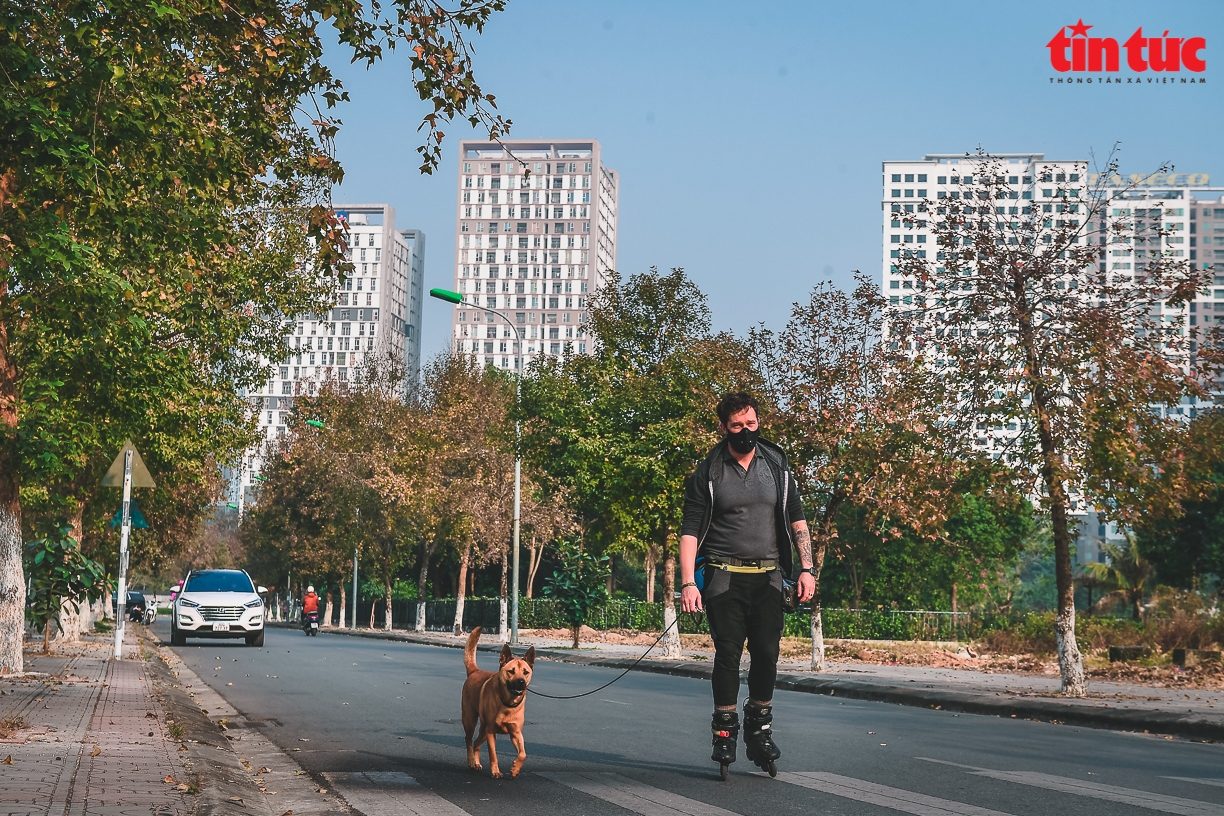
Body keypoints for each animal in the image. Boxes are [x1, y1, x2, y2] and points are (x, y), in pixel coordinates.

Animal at [460, 626, 533, 778]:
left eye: (526, 672)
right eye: (511, 671)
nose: (521, 682)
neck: (507, 704)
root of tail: (474, 671)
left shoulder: (516, 733)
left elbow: (523, 753)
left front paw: (515, 769)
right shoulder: (491, 732)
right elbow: (493, 755)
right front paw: (496, 771)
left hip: (483, 730)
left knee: (476, 743)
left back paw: (476, 762)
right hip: (470, 721)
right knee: (469, 740)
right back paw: (471, 761)